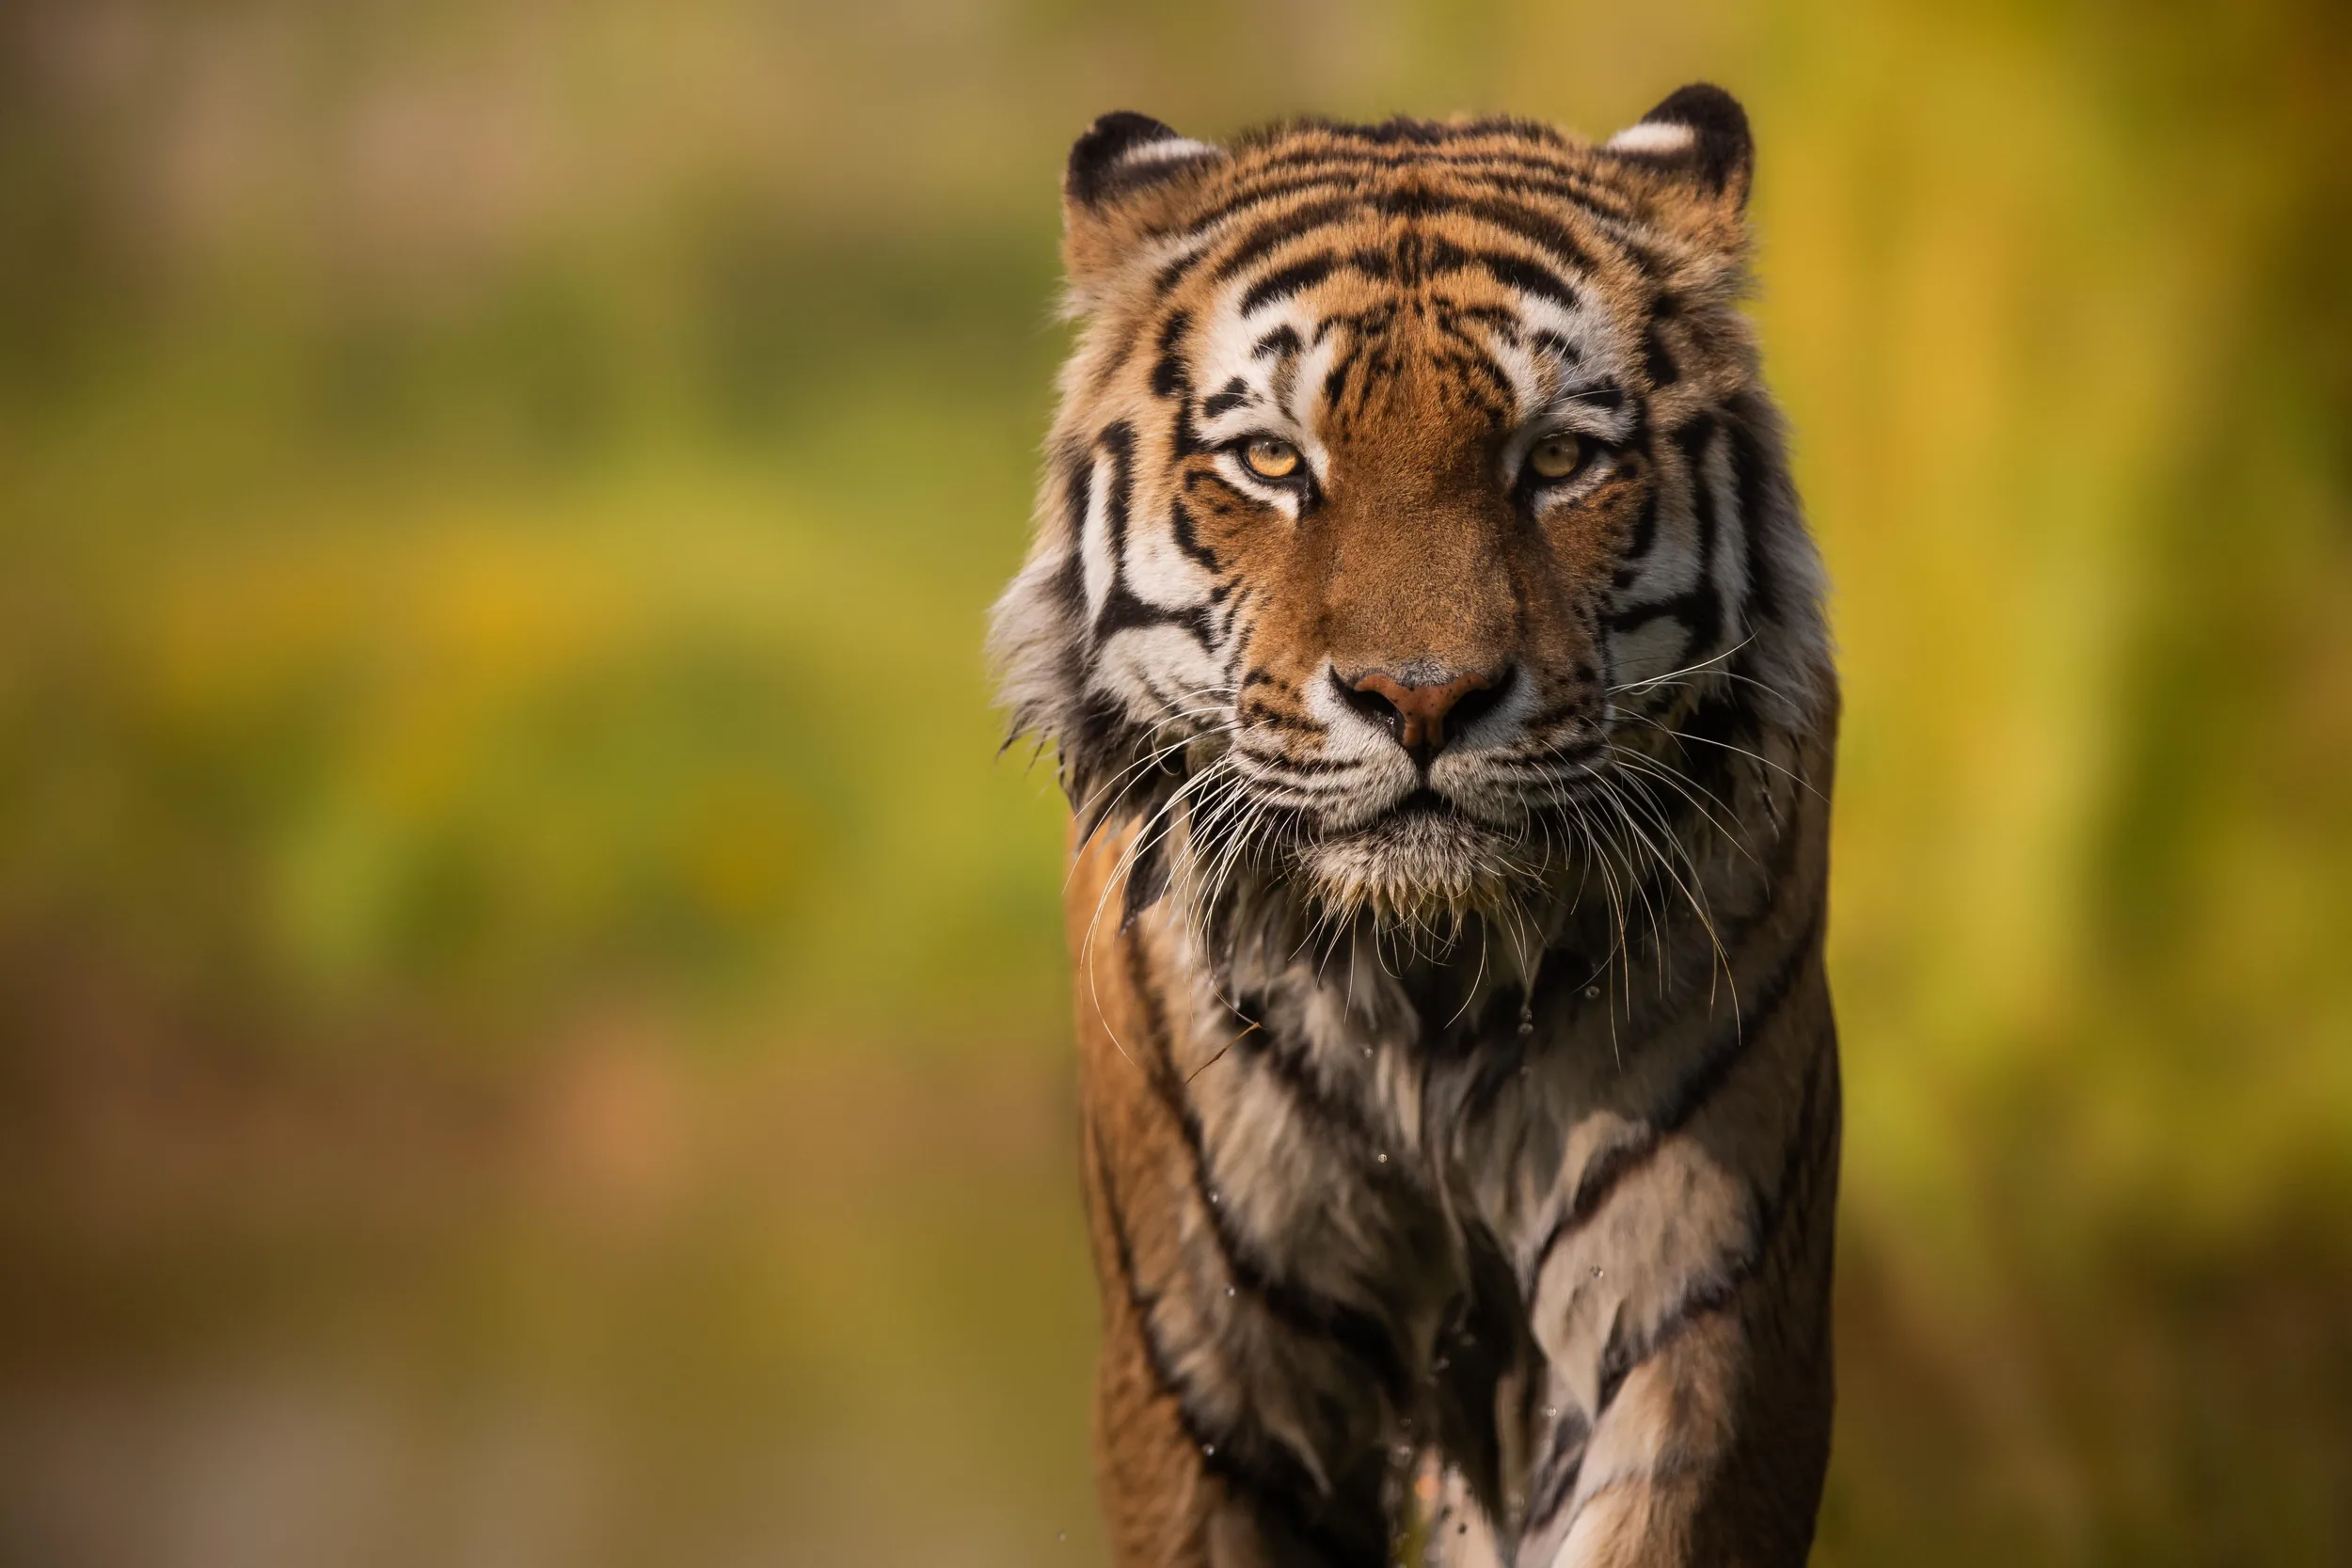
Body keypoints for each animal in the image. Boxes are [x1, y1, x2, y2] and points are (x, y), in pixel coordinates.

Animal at [989, 84, 1839, 1568]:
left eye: (1554, 458)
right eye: (1273, 460)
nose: (1422, 697)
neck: (1427, 986)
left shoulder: (1700, 1324)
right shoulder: (1204, 1389)